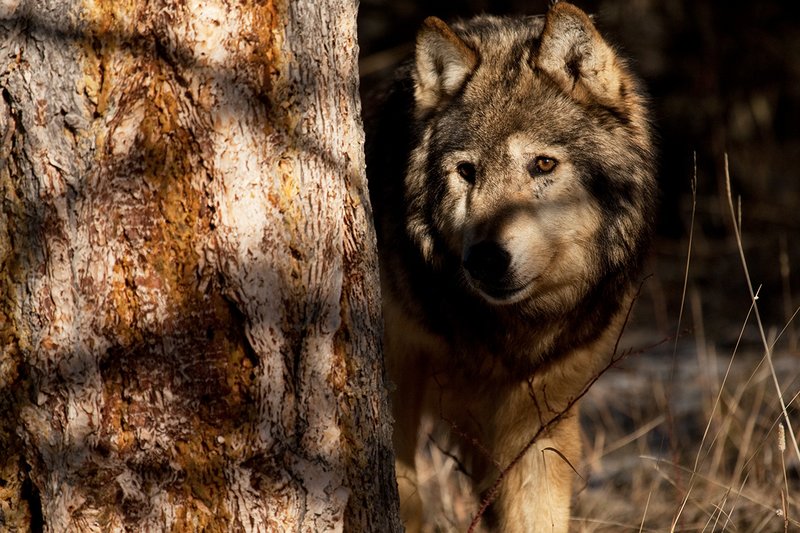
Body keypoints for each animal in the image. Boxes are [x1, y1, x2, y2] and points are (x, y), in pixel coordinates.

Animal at [364, 2, 657, 531]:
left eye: (543, 164)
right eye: (466, 172)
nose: (484, 259)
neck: (499, 336)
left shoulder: (541, 414)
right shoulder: (397, 372)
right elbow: (406, 498)